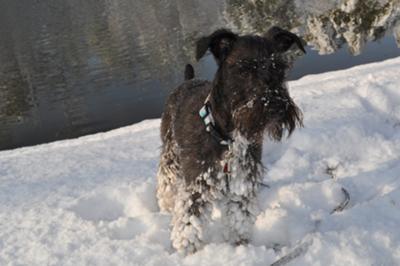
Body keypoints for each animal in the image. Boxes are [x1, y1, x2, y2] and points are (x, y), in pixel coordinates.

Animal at [157, 26, 306, 254]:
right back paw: (165, 203)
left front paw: (239, 244)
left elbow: (239, 218)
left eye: (279, 68)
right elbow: (190, 219)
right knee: (165, 177)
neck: (227, 138)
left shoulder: (242, 179)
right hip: (170, 152)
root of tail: (187, 80)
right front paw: (187, 249)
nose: (275, 106)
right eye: (243, 70)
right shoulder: (198, 181)